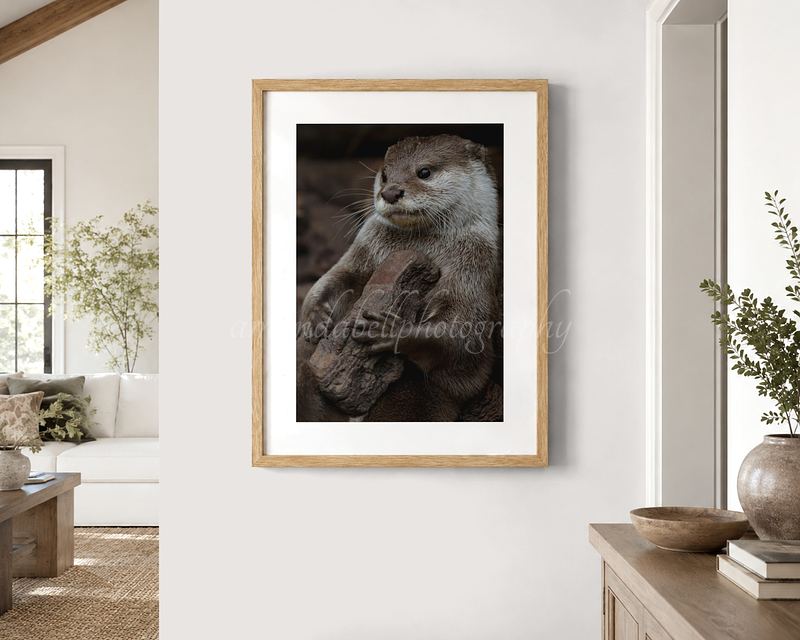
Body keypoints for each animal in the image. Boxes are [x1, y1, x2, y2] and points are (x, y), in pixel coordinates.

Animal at [298, 134, 501, 421]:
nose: (390, 192)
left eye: (424, 172)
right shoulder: (364, 250)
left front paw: (389, 331)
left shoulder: (474, 270)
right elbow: (338, 276)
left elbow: (461, 334)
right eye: (384, 174)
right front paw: (315, 315)